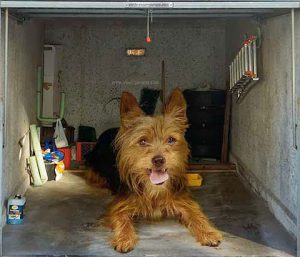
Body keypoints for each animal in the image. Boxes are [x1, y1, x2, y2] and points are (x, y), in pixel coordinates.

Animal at [102, 88, 221, 252]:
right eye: (142, 141)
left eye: (171, 140)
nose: (158, 160)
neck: (155, 190)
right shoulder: (119, 205)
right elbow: (121, 218)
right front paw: (124, 238)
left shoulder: (184, 201)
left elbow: (196, 214)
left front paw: (208, 232)